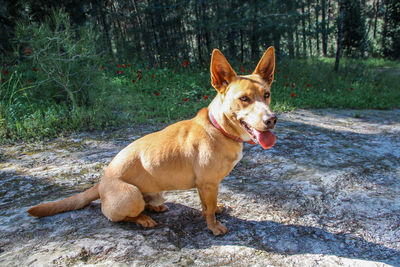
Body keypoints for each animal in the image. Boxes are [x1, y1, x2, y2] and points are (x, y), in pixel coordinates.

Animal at [28, 47, 276, 236]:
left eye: (267, 95)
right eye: (244, 99)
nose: (271, 119)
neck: (219, 128)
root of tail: (100, 184)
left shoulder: (205, 185)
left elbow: (207, 205)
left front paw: (213, 213)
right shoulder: (208, 183)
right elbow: (209, 207)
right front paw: (214, 226)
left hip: (153, 192)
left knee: (148, 203)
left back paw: (155, 208)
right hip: (131, 196)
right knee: (124, 216)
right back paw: (144, 218)